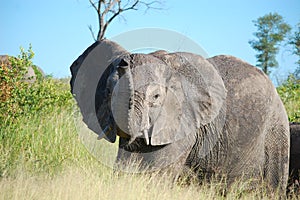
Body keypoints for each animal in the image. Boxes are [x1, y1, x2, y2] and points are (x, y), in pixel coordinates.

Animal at [69, 39, 290, 194]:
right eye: (108, 93)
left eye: (156, 97)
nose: (125, 63)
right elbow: (126, 164)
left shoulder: (185, 121)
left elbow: (158, 175)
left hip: (276, 131)